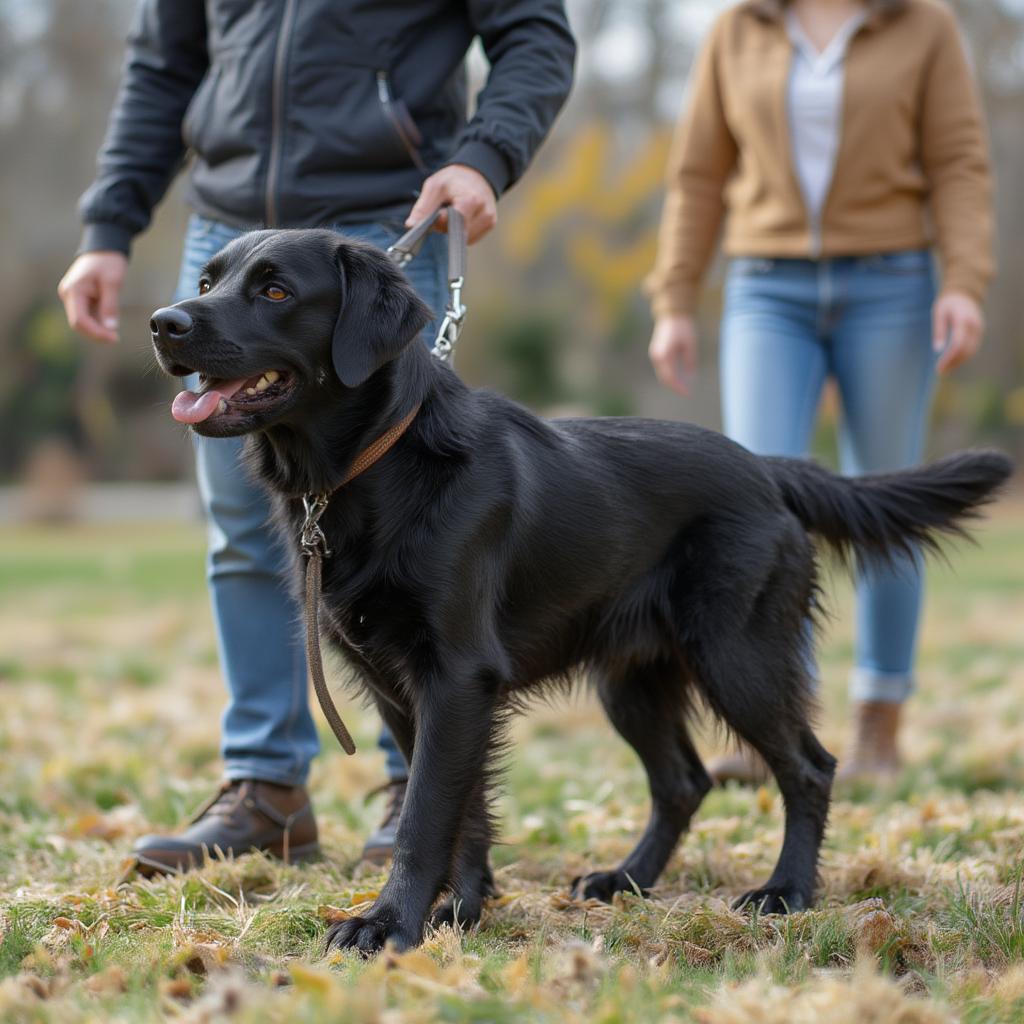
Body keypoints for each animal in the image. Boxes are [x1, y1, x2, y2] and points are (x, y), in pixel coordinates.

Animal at [148, 230, 1011, 950]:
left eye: (276, 290)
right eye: (209, 279)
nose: (163, 322)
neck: (378, 464)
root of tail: (769, 471)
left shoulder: (455, 675)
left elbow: (426, 811)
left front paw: (391, 924)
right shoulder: (405, 688)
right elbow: (460, 805)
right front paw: (462, 909)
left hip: (738, 657)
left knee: (808, 767)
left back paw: (785, 892)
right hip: (629, 680)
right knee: (684, 781)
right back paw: (626, 879)